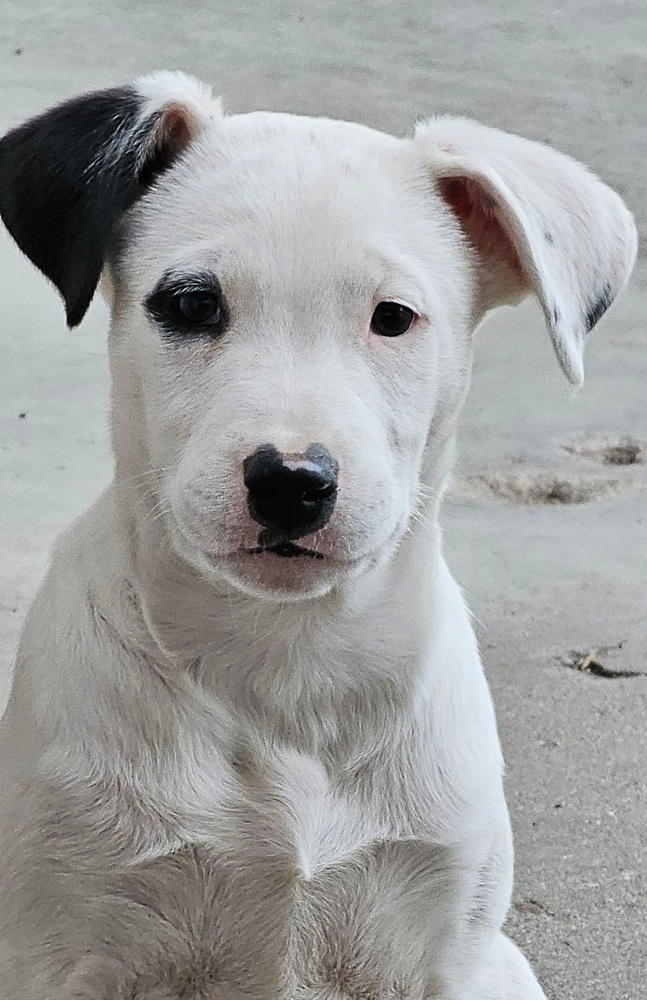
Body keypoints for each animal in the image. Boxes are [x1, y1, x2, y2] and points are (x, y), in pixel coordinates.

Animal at [0, 72, 636, 1000]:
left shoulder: (451, 952)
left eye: (393, 317)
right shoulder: (63, 948)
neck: (289, 663)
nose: (292, 483)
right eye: (192, 305)